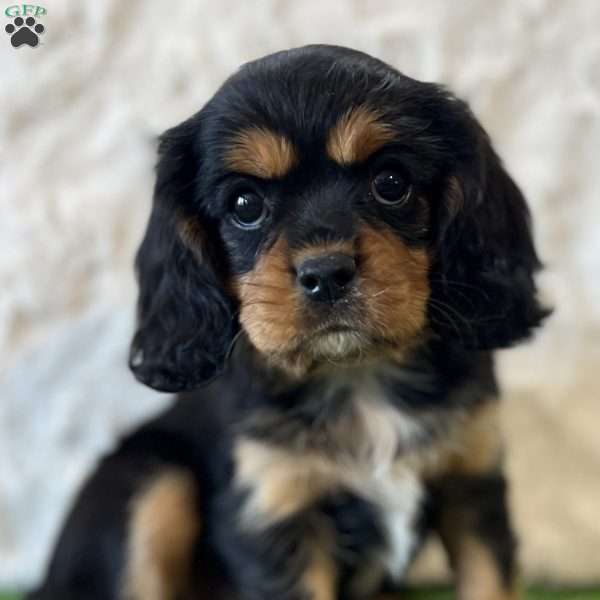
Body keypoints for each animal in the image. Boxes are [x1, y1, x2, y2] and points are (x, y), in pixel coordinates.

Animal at [29, 43, 548, 600]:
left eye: (391, 183)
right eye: (244, 204)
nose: (326, 273)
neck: (357, 375)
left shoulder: (474, 484)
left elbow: (488, 580)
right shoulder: (278, 512)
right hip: (148, 484)